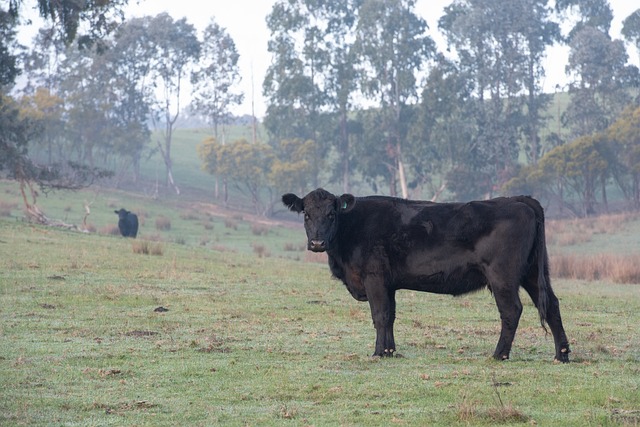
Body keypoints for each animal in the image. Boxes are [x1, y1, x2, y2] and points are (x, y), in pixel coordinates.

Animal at [282, 189, 572, 362]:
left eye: (332, 214)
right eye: (306, 214)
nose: (317, 243)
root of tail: (517, 199)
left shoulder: (374, 277)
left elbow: (380, 315)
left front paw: (378, 353)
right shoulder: (389, 284)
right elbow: (391, 316)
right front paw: (390, 350)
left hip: (503, 276)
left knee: (511, 310)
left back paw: (499, 354)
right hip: (532, 273)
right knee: (552, 306)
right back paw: (562, 354)